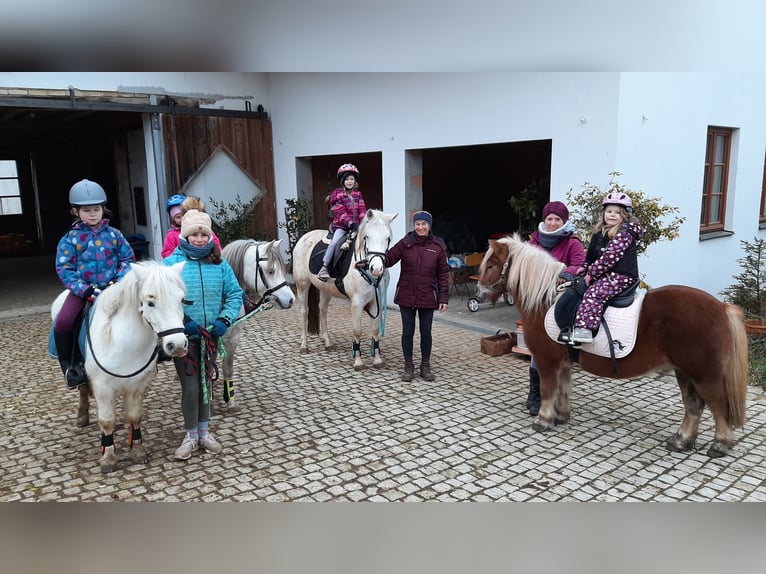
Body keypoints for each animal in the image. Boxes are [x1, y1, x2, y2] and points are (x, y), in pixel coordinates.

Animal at [51, 264, 189, 474]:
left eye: (181, 300)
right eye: (150, 303)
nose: (178, 345)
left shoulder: (139, 384)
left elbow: (135, 416)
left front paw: (137, 451)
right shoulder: (102, 386)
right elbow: (107, 420)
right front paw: (108, 458)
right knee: (82, 388)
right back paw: (82, 416)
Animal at [294, 209, 400, 372]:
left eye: (387, 238)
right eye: (366, 237)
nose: (376, 269)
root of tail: (304, 237)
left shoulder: (375, 303)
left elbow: (375, 331)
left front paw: (377, 360)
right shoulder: (356, 304)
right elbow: (357, 331)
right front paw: (358, 362)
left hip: (326, 289)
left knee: (322, 310)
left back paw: (328, 343)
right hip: (302, 284)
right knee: (304, 312)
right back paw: (304, 346)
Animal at [476, 234, 748, 460]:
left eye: (491, 266)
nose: (478, 295)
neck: (546, 300)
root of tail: (722, 307)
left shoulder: (546, 360)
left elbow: (548, 390)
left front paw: (543, 420)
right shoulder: (563, 363)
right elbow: (564, 389)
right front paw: (561, 416)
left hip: (703, 373)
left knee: (718, 405)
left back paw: (720, 443)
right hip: (684, 372)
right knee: (694, 405)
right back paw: (681, 440)